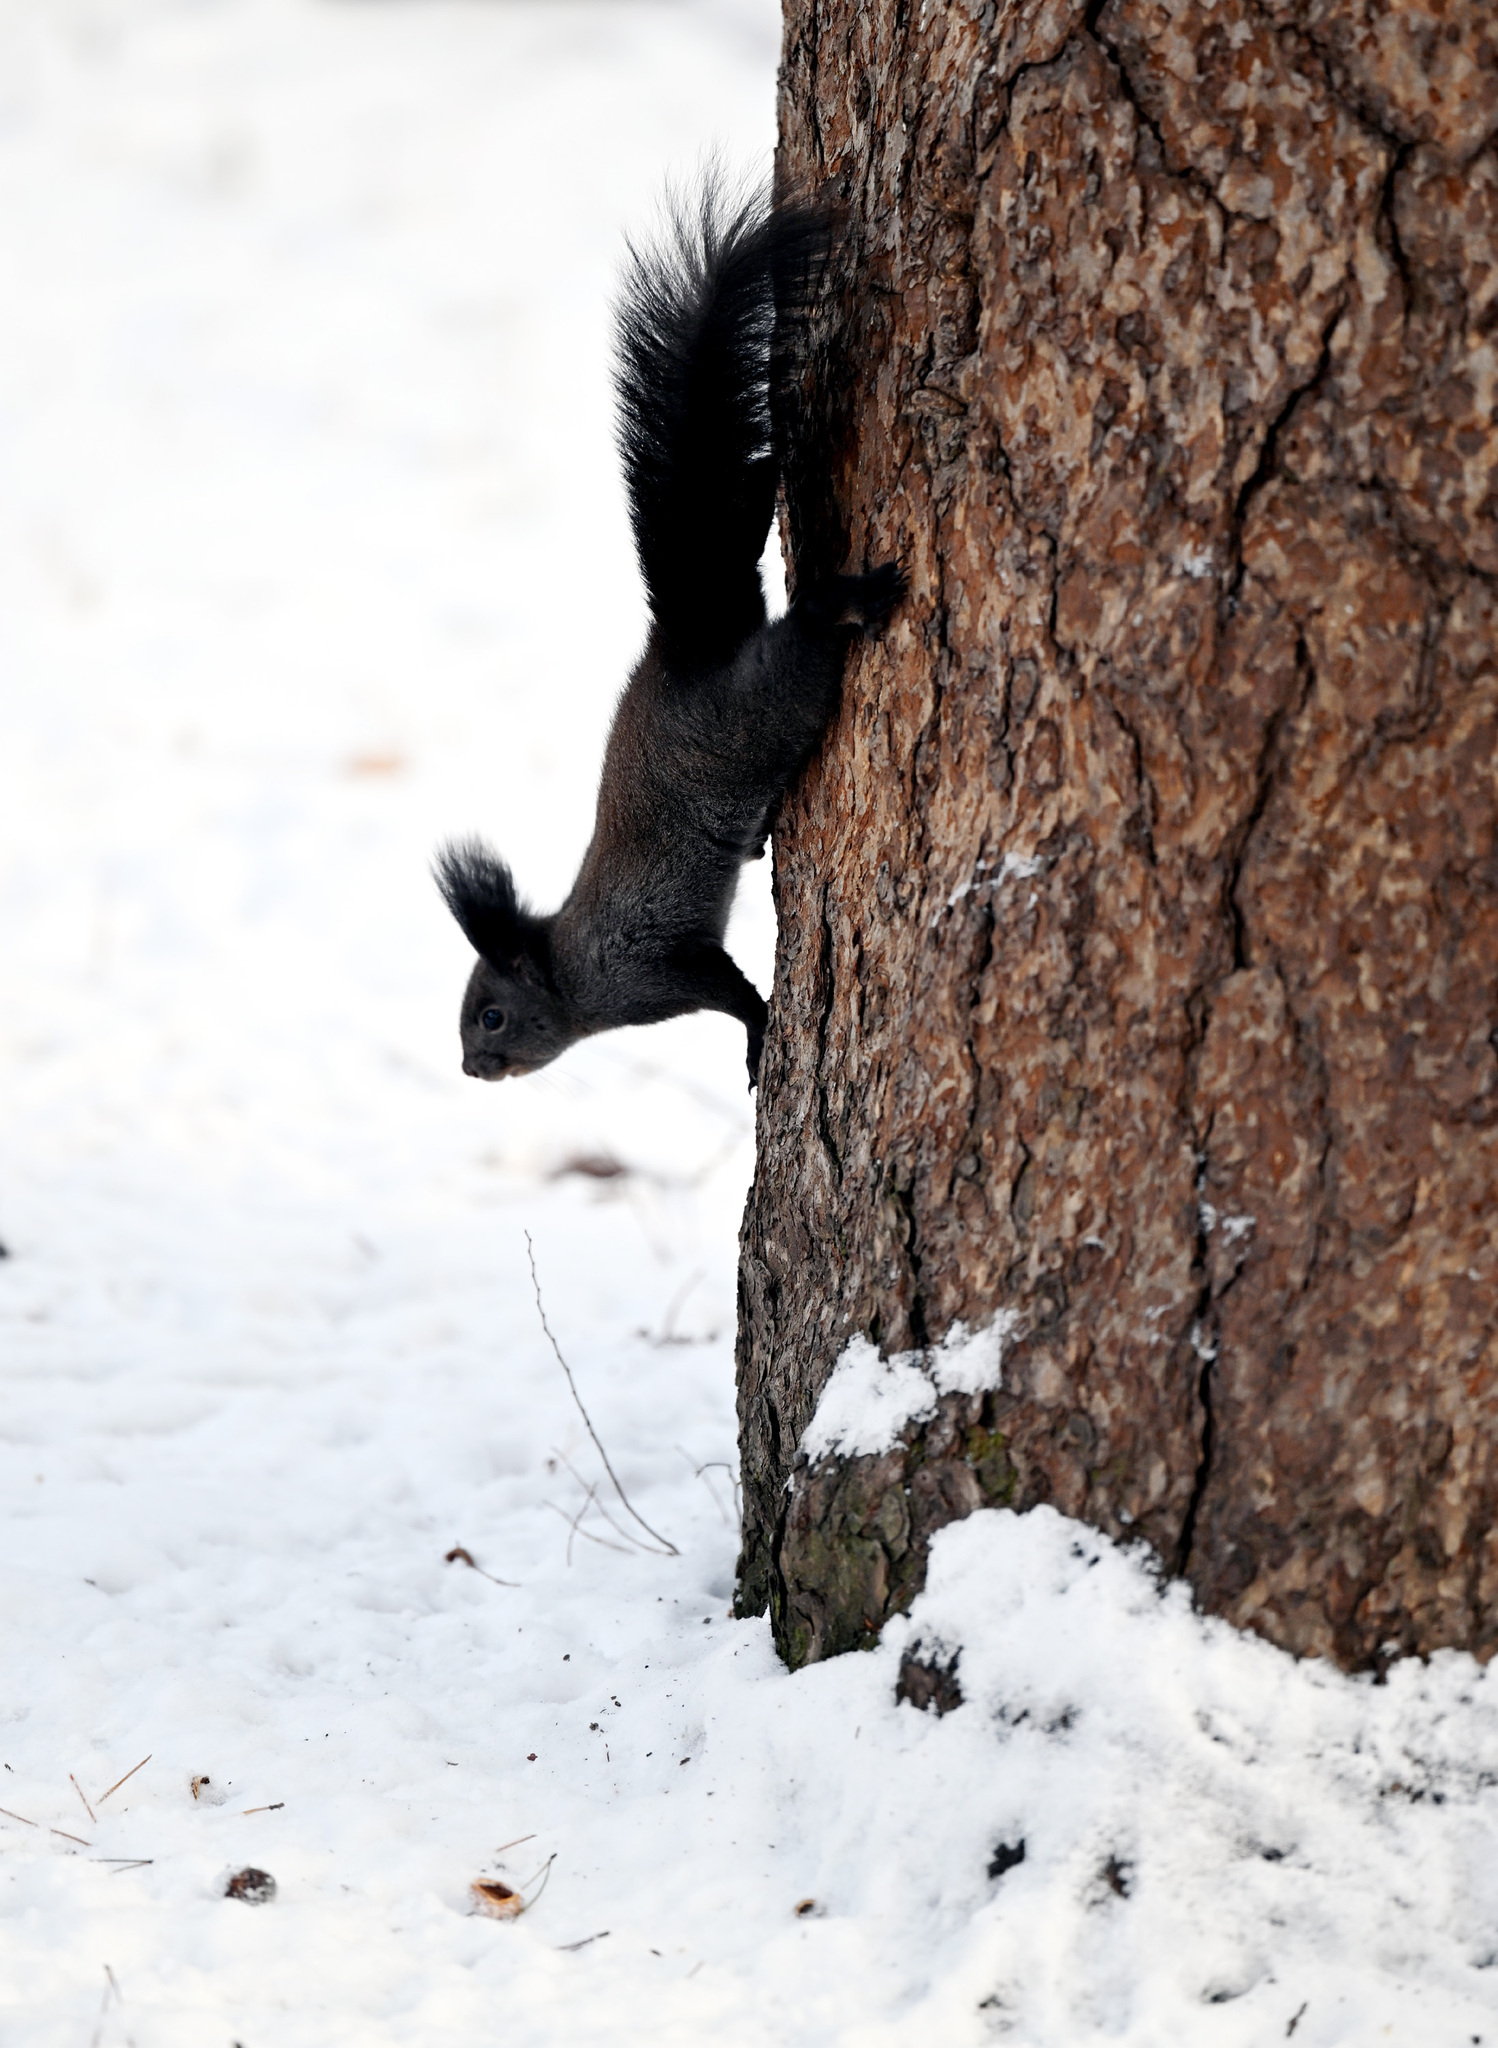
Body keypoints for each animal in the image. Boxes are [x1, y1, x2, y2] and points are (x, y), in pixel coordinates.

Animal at [434, 180, 901, 1089]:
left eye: (491, 1015)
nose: (471, 1069)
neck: (572, 973)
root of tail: (683, 644)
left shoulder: (652, 964)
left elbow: (728, 989)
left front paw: (758, 1034)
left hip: (758, 711)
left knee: (804, 640)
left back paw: (856, 600)